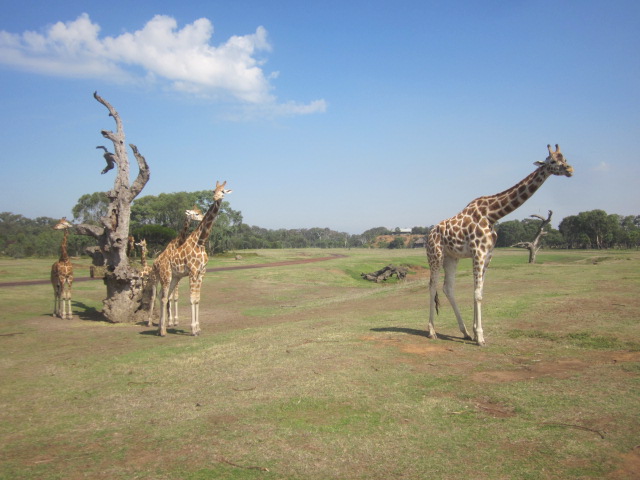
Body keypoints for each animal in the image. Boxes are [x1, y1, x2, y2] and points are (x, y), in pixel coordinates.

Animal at [152, 182, 230, 336]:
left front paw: (198, 328)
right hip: (165, 275)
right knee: (163, 297)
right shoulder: (193, 272)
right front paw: (193, 329)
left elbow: (197, 299)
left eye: (223, 191)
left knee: (164, 296)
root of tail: (157, 261)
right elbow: (192, 299)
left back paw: (160, 328)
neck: (200, 242)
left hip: (174, 277)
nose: (216, 197)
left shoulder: (201, 273)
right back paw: (162, 330)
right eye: (213, 190)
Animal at [428, 144, 572, 346]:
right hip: (436, 255)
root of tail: (428, 235)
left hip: (451, 258)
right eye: (552, 160)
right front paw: (480, 337)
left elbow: (479, 291)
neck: (493, 214)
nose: (569, 169)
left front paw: (475, 332)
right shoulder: (478, 252)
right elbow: (477, 293)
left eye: (564, 158)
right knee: (432, 286)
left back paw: (464, 332)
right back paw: (431, 331)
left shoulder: (488, 255)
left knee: (448, 288)